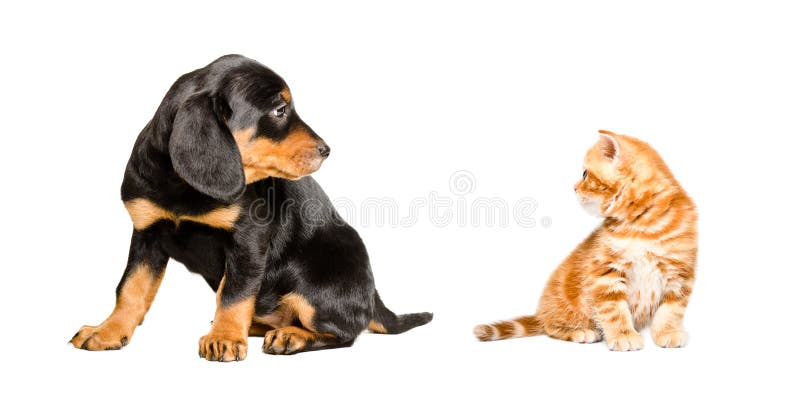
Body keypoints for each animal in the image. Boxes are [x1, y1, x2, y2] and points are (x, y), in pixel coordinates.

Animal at [70, 54, 432, 360]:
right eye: (279, 110)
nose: (326, 150)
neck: (184, 189)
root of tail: (372, 297)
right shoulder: (147, 232)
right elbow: (131, 288)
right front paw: (108, 331)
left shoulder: (248, 240)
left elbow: (234, 293)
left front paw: (226, 338)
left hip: (316, 286)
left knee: (344, 332)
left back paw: (289, 336)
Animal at [476, 131, 692, 350]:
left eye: (585, 174)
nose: (573, 187)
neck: (641, 225)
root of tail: (541, 313)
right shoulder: (605, 273)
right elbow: (614, 310)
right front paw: (623, 335)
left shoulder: (680, 272)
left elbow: (672, 309)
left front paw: (668, 332)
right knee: (550, 327)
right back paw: (580, 332)